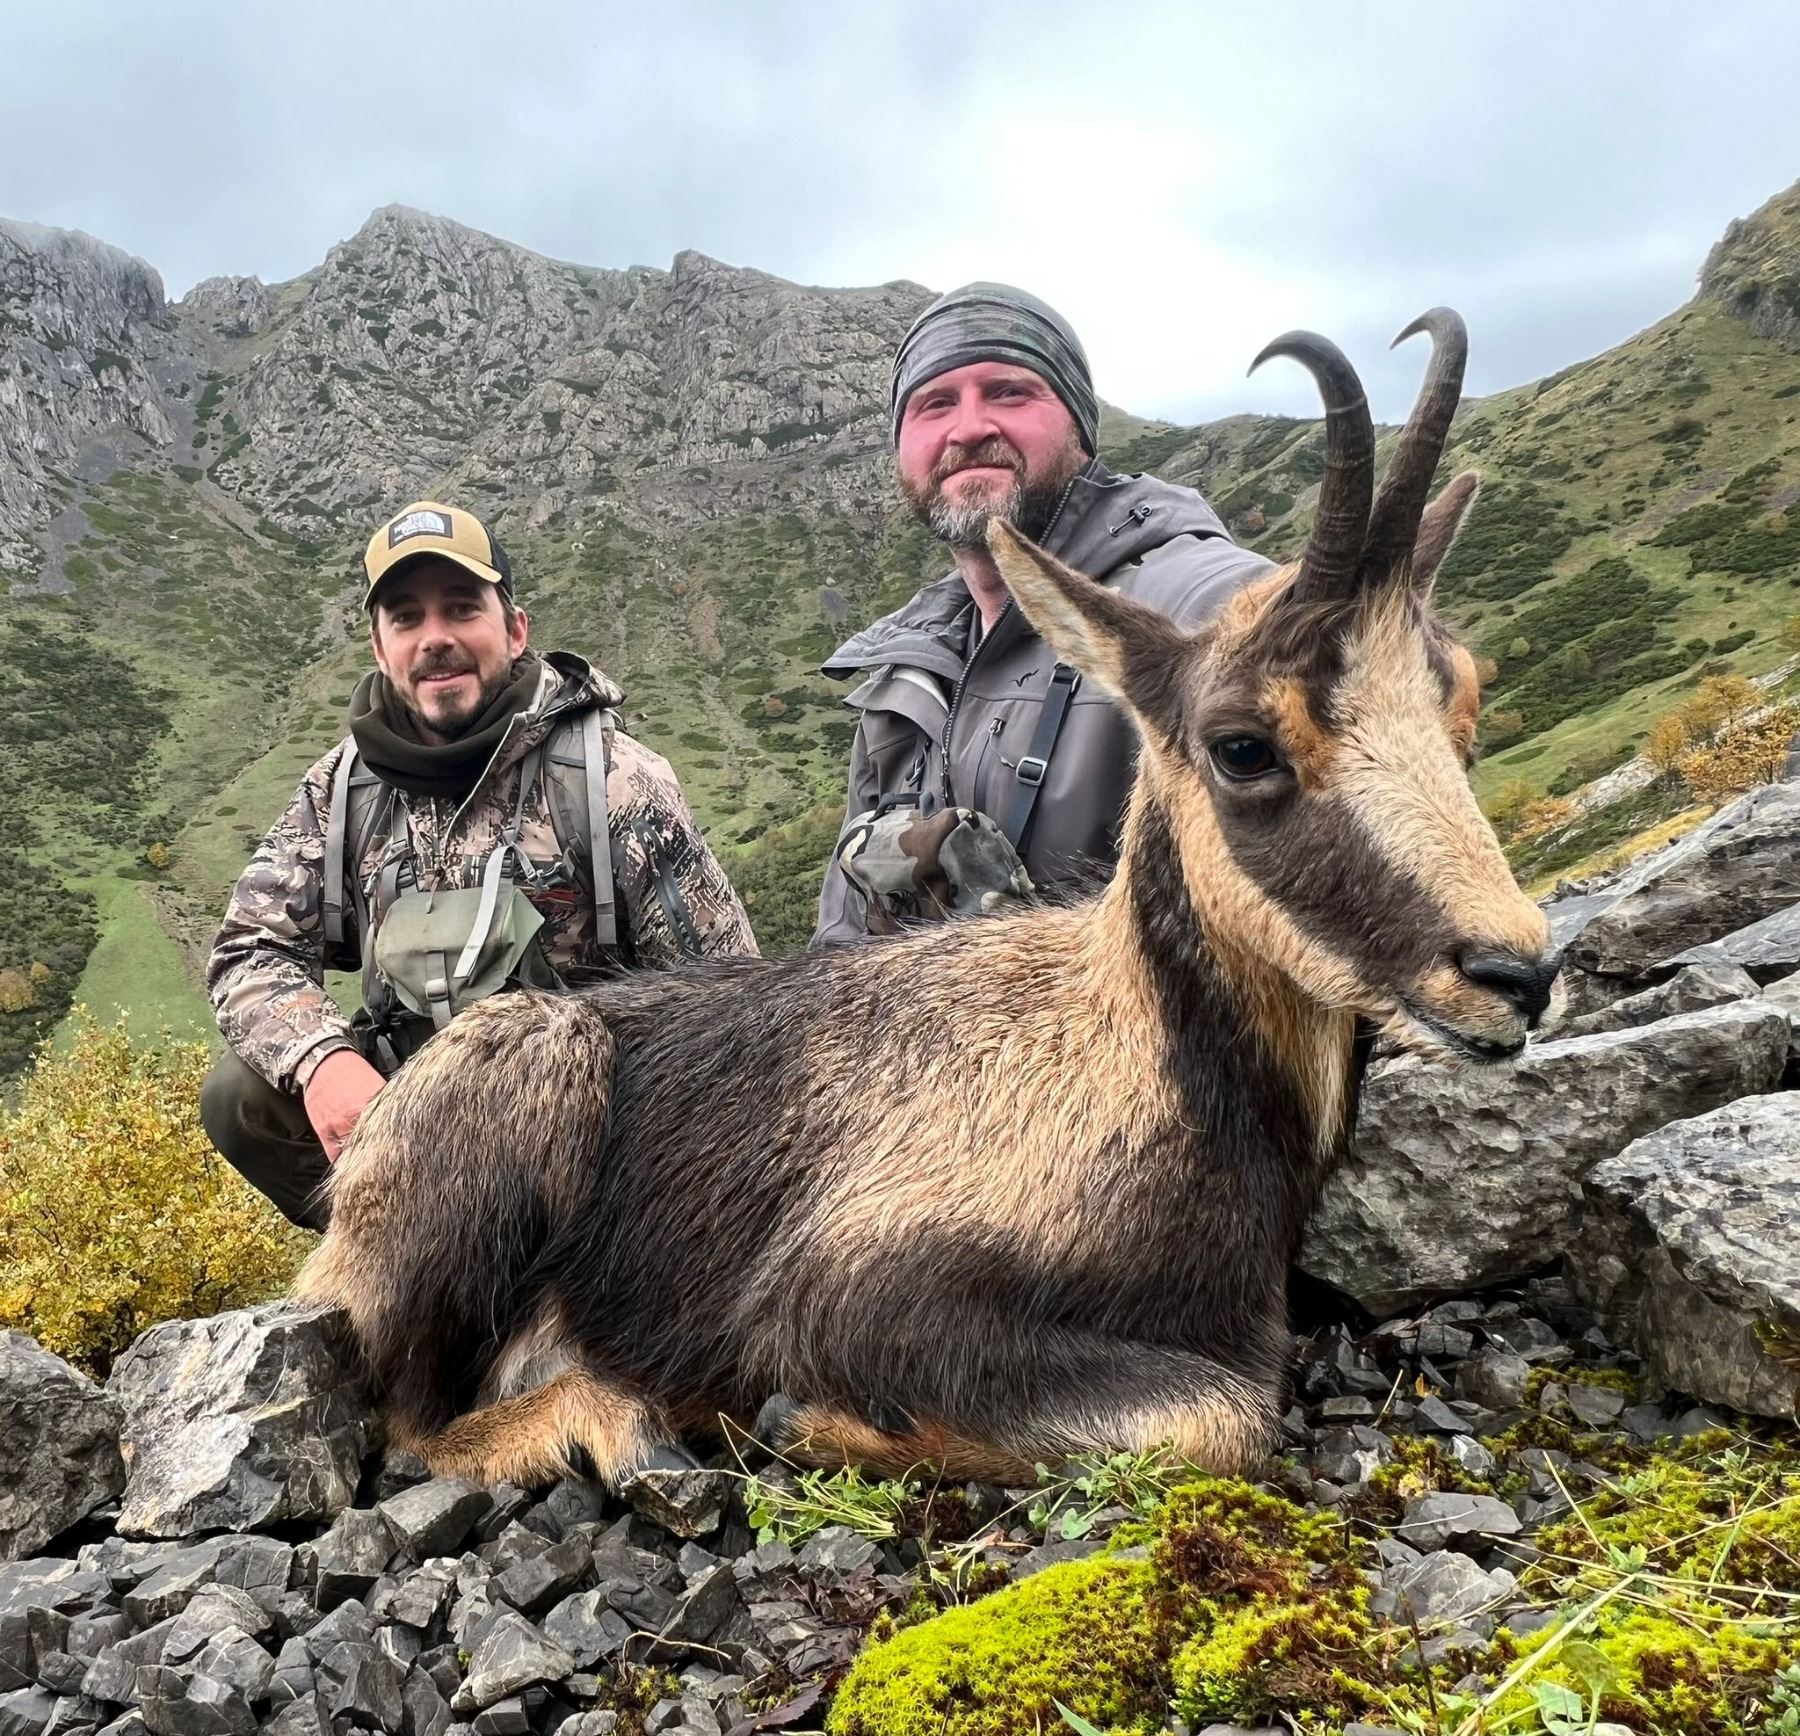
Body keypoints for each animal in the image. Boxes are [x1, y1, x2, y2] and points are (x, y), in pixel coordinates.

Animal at [297, 309, 1562, 1489]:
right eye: (1242, 744)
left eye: (1466, 696)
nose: (1515, 973)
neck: (1135, 1065)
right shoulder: (852, 1286)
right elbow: (1216, 1415)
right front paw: (805, 1419)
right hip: (529, 1081)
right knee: (410, 1424)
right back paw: (614, 1419)